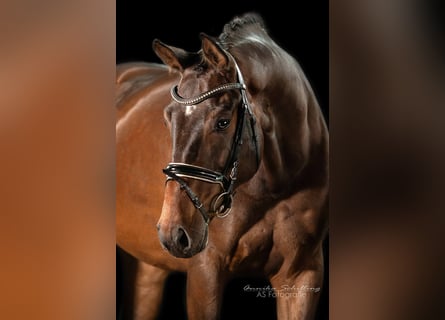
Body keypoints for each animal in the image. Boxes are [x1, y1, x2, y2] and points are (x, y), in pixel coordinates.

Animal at [116, 12, 328, 320]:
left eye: (223, 122)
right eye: (168, 118)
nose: (173, 232)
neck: (277, 185)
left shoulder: (302, 275)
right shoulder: (205, 274)